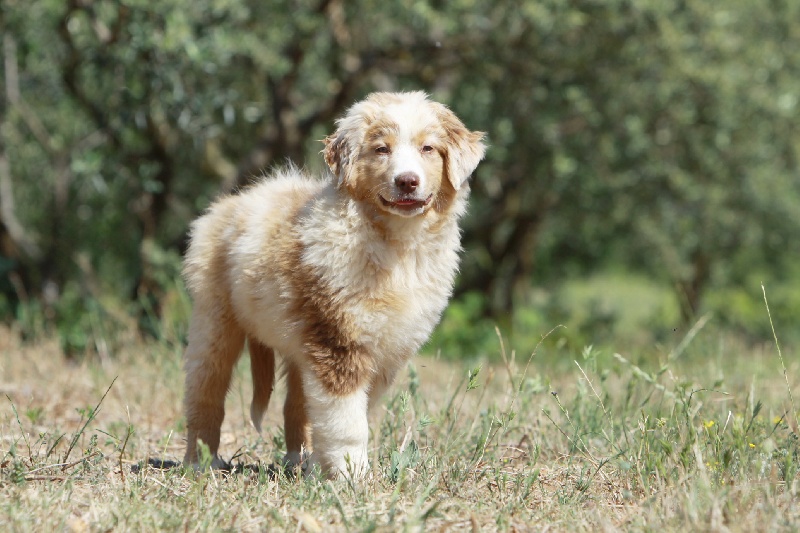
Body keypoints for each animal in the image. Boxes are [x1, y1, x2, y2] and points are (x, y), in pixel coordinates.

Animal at [184, 91, 484, 478]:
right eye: (381, 149)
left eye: (428, 149)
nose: (407, 181)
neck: (397, 244)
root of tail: (235, 200)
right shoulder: (339, 342)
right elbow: (347, 421)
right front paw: (351, 476)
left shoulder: (384, 352)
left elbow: (349, 415)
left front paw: (330, 471)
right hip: (215, 317)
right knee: (206, 391)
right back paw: (200, 462)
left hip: (299, 342)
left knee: (296, 405)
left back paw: (299, 462)